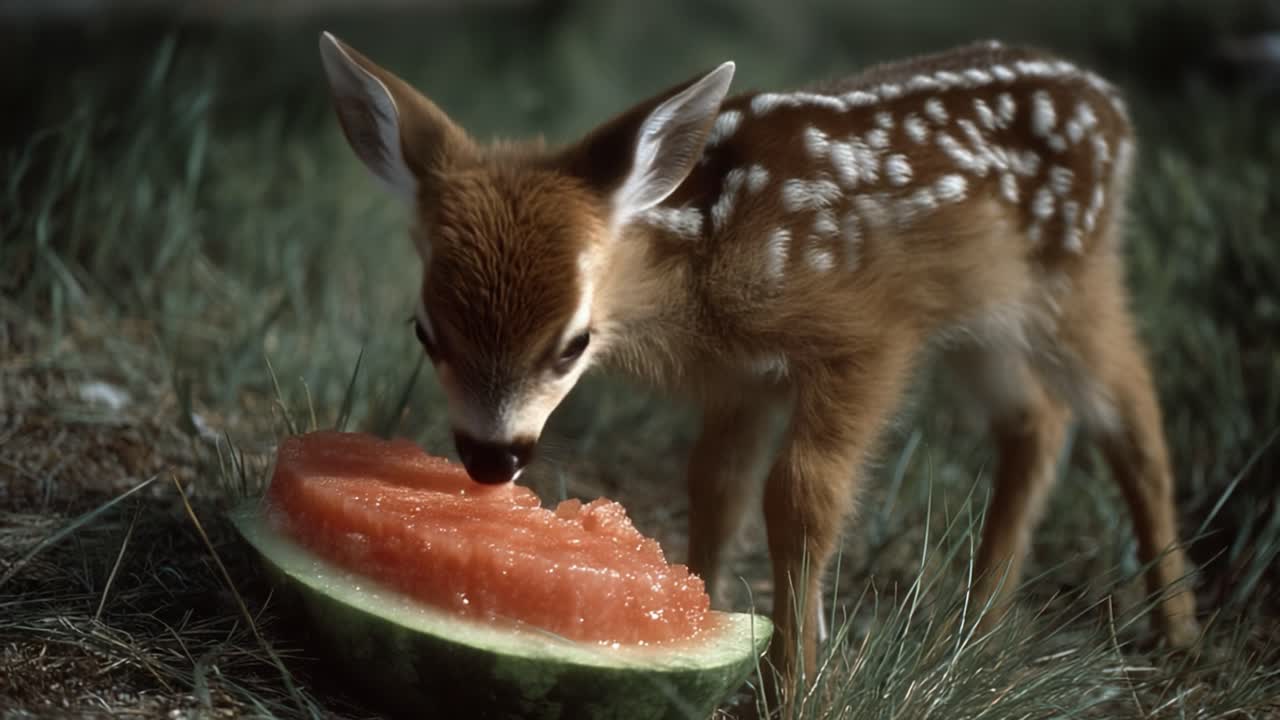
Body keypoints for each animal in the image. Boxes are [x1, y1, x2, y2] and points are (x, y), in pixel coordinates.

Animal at [316, 31, 1202, 704]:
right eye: (426, 331)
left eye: (571, 343)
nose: (491, 457)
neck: (703, 257)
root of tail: (1112, 105)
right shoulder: (744, 380)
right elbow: (715, 485)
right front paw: (691, 615)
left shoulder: (867, 338)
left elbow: (800, 496)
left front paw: (795, 685)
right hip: (987, 315)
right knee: (1038, 419)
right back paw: (980, 624)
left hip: (1071, 277)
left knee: (1136, 416)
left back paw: (1177, 631)